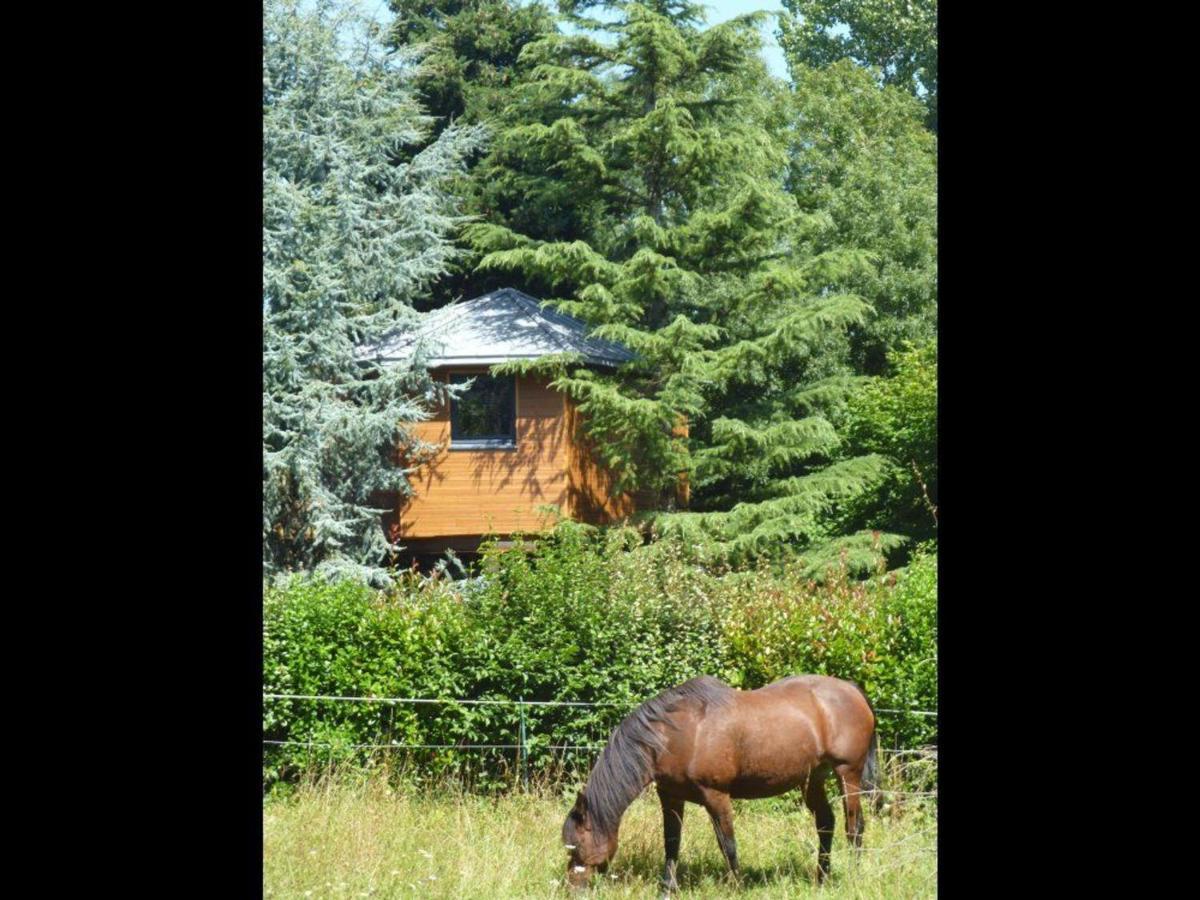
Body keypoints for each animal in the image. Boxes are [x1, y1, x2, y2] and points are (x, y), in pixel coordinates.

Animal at [561, 672, 883, 892]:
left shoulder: (716, 795)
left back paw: (852, 876)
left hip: (848, 774)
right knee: (826, 823)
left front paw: (735, 886)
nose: (573, 889)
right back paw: (821, 878)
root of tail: (853, 690)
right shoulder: (671, 797)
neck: (678, 734)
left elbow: (727, 842)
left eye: (576, 845)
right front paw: (668, 888)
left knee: (854, 826)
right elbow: (671, 842)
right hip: (813, 778)